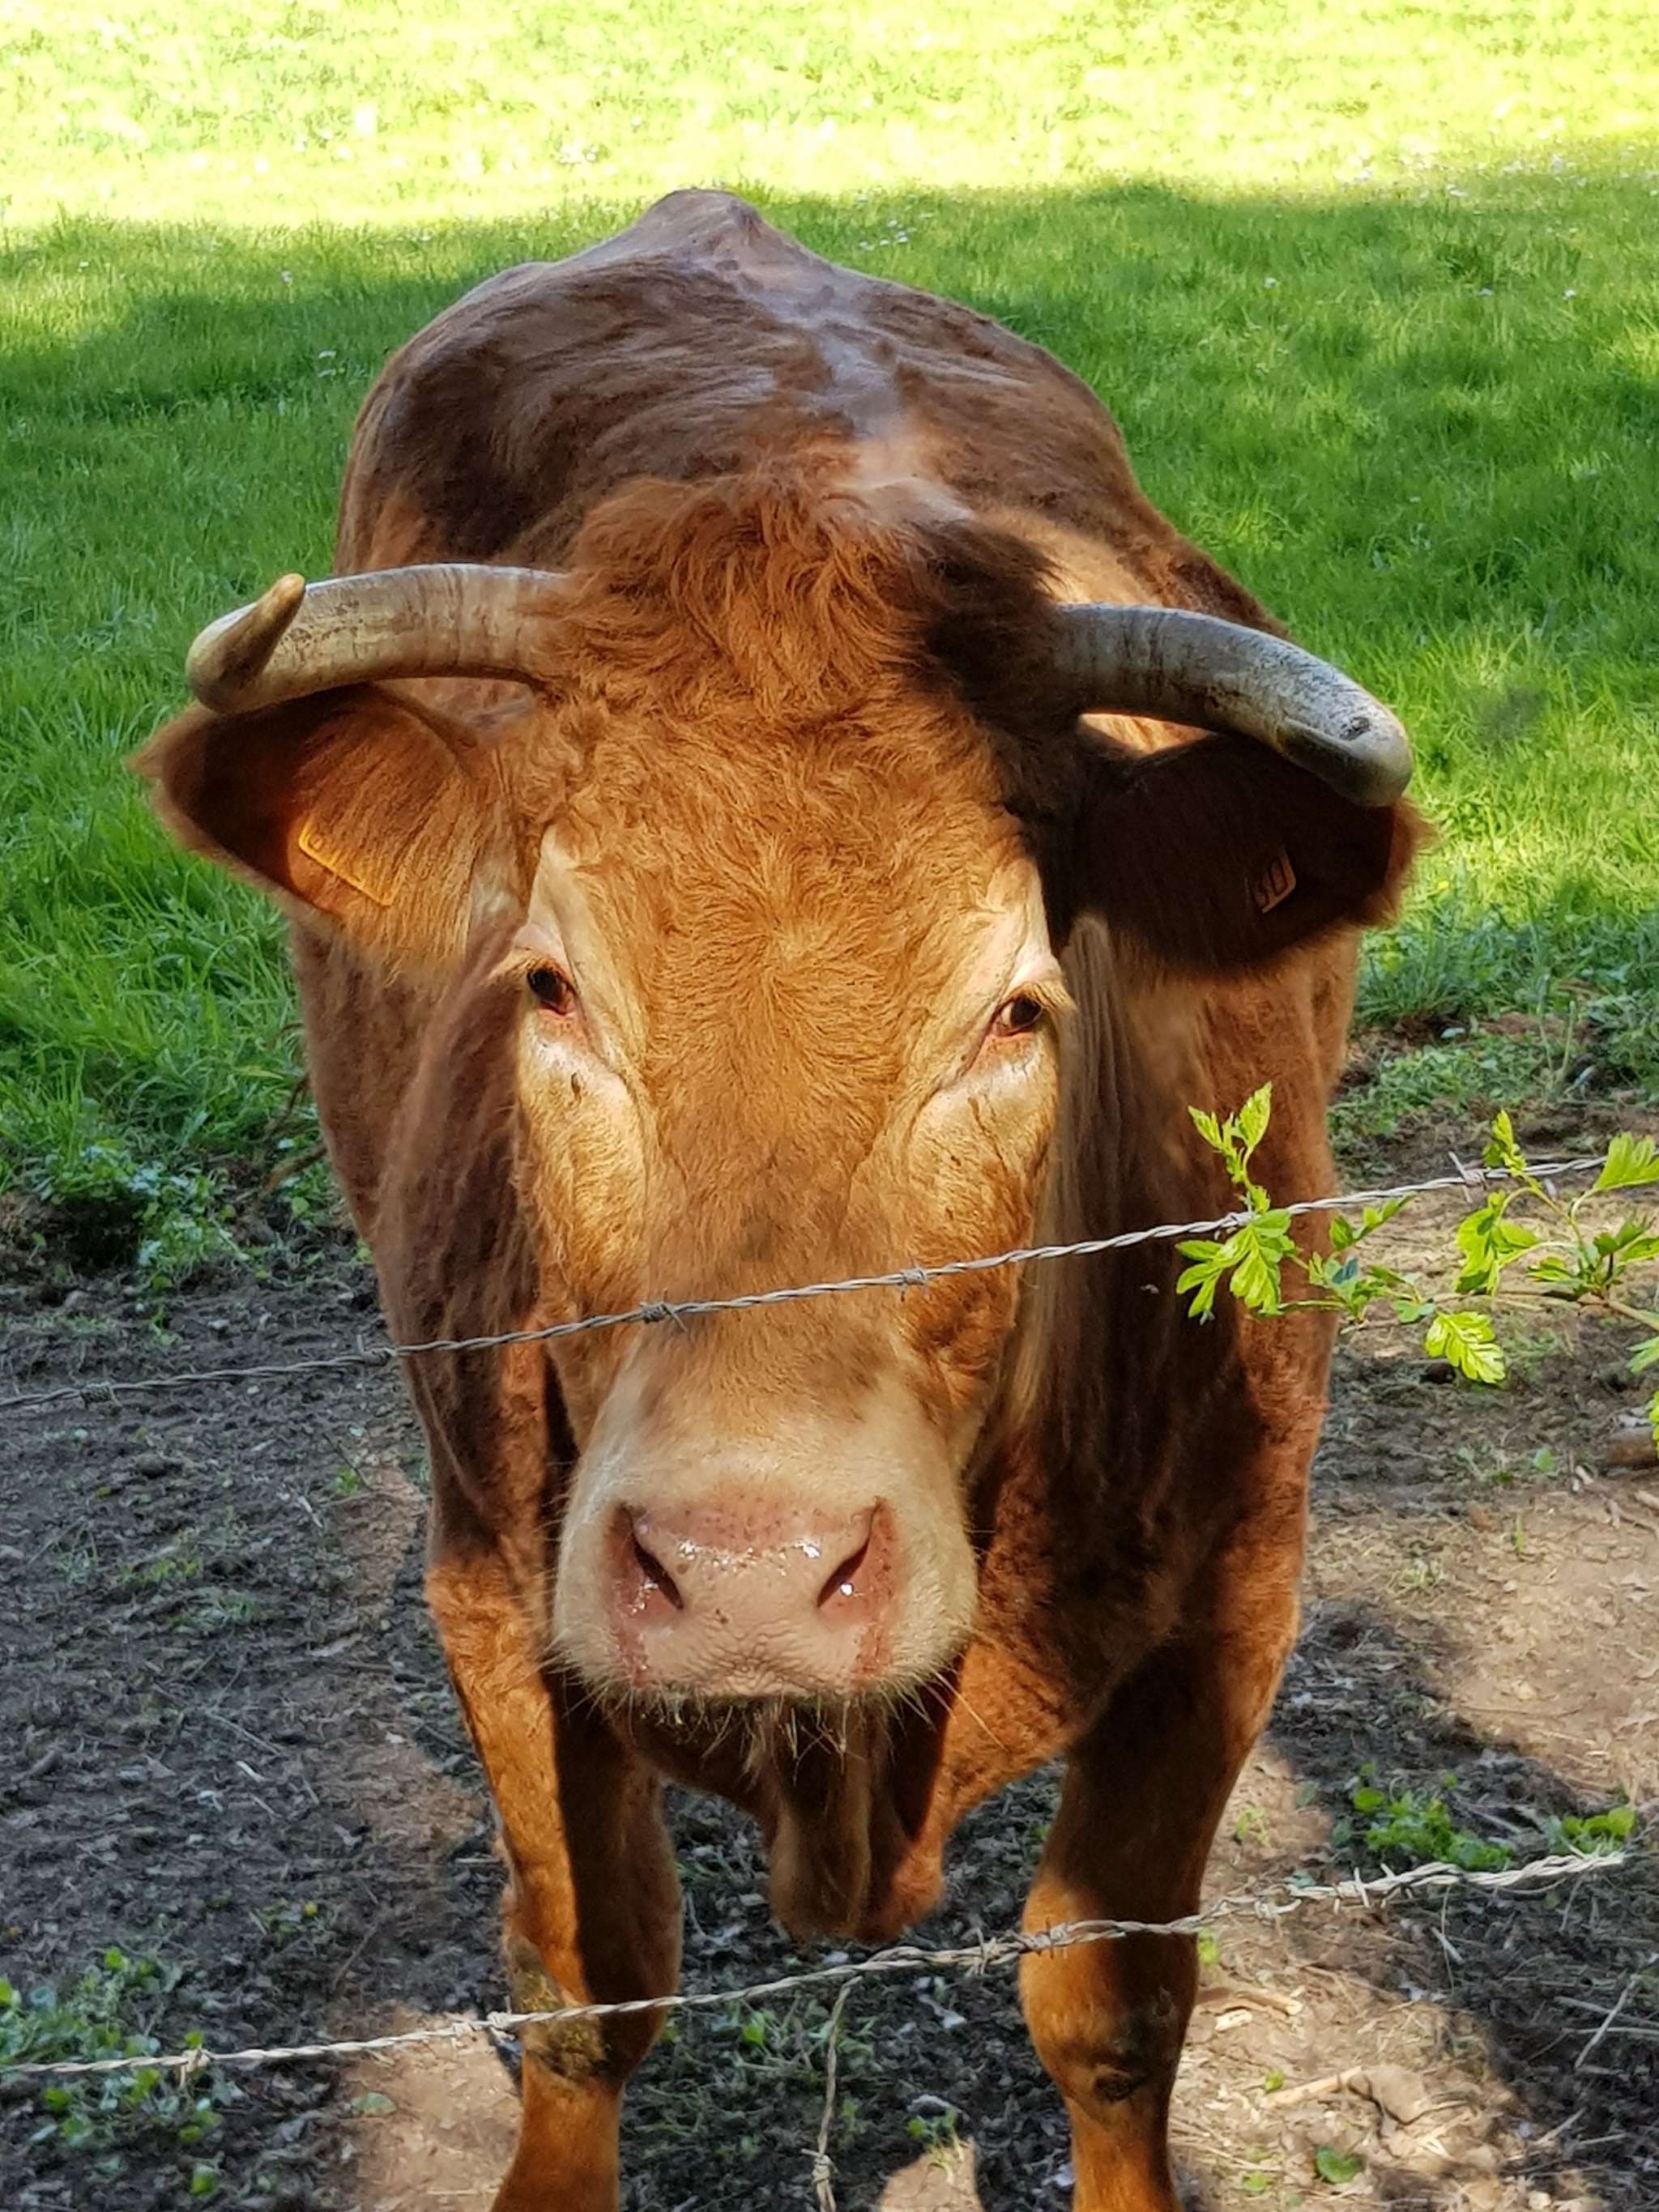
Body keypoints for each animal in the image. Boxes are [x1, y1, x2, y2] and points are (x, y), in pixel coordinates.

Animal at [138, 190, 1421, 2210]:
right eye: (550, 988)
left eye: (1017, 1005)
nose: (748, 1569)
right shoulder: (493, 1586)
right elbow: (587, 1974)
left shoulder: (1242, 1585)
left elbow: (1112, 1997)